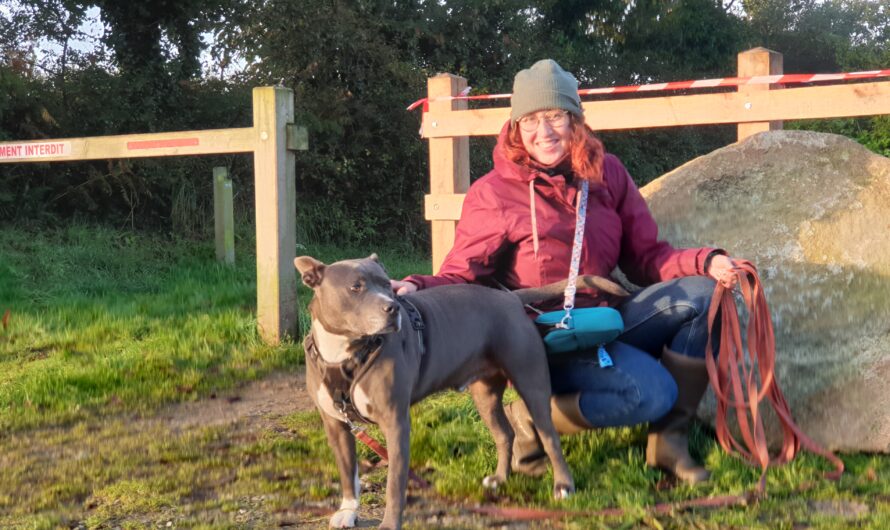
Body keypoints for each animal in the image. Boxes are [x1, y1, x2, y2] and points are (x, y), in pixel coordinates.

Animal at [294, 254, 628, 524]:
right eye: (356, 287)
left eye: (387, 286)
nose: (392, 308)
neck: (343, 353)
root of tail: (510, 299)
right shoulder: (335, 425)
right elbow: (347, 472)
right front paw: (348, 511)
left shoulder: (395, 422)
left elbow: (394, 484)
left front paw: (389, 523)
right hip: (484, 394)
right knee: (504, 434)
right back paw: (499, 479)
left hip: (531, 382)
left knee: (549, 436)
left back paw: (563, 486)